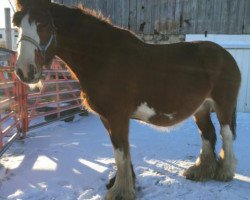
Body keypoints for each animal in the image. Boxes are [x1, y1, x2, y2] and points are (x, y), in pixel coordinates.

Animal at [13, 0, 240, 199]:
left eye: (43, 24)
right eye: (17, 24)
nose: (24, 71)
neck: (103, 57)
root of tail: (226, 55)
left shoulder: (117, 116)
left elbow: (120, 151)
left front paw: (120, 192)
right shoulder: (107, 117)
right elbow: (121, 151)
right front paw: (121, 183)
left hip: (224, 105)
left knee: (225, 133)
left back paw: (225, 172)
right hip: (201, 108)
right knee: (208, 134)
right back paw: (201, 171)